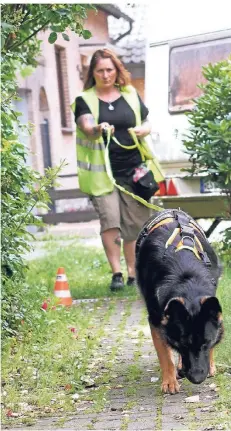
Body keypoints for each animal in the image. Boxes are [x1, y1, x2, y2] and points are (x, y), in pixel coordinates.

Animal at [135, 209, 224, 394]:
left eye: (206, 343)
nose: (197, 379)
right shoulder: (156, 320)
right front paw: (169, 381)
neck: (186, 277)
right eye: (183, 345)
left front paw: (210, 365)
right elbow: (165, 355)